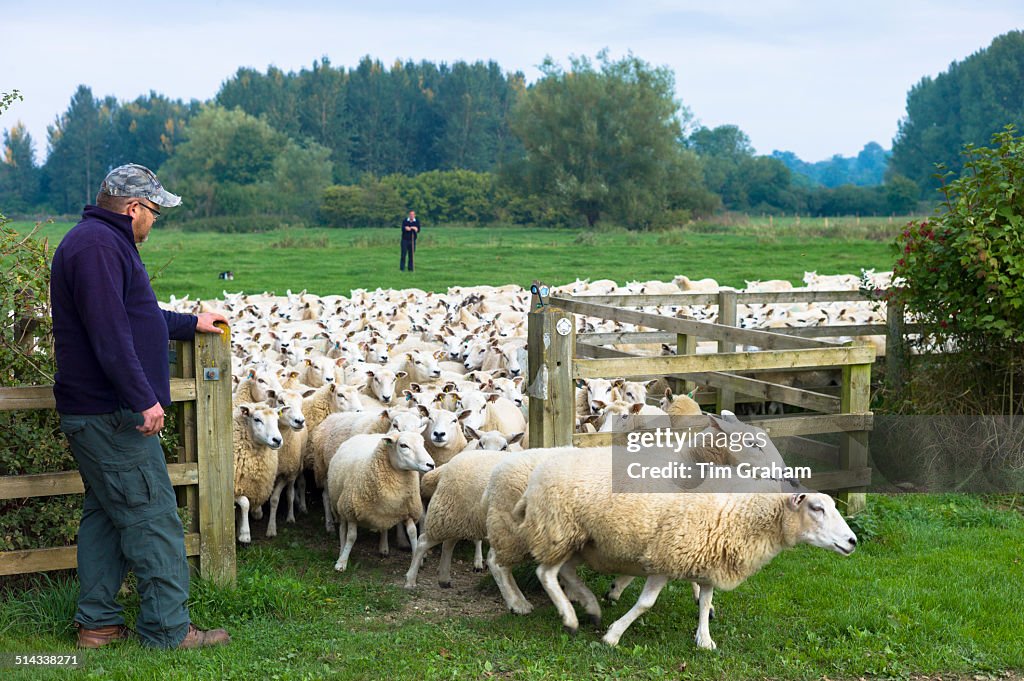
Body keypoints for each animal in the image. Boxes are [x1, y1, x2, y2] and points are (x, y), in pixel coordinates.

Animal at [325, 432, 434, 569]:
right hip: (340, 504)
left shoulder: (408, 511)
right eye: (403, 445)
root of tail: (365, 434)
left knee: (384, 527)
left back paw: (383, 547)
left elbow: (413, 533)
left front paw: (417, 560)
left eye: (423, 443)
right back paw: (341, 550)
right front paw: (342, 562)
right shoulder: (351, 512)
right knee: (342, 529)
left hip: (384, 511)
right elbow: (351, 537)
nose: (431, 465)